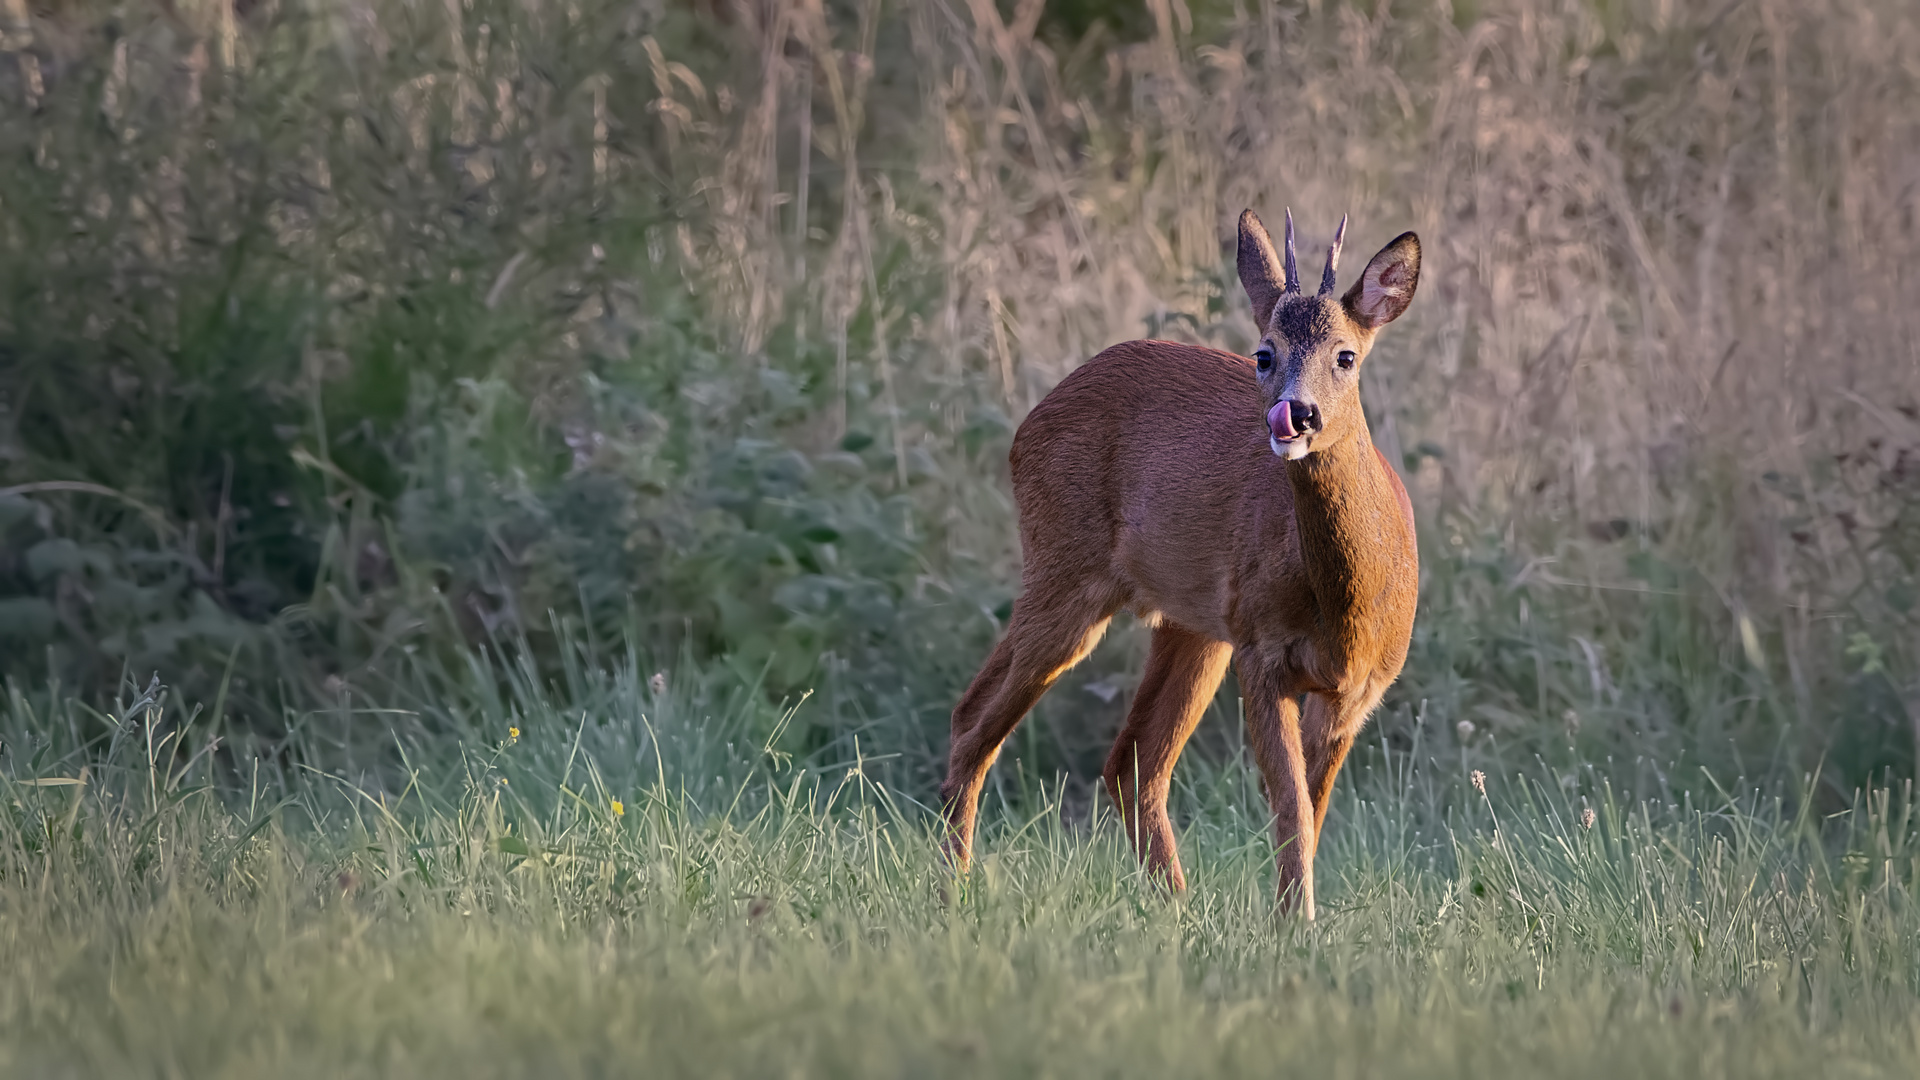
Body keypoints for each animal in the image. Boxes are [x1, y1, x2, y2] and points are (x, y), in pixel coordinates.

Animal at [936, 205, 1420, 910]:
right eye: (1264, 353)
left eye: (1346, 355)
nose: (1295, 415)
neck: (1347, 608)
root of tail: (1029, 422)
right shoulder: (1262, 652)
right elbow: (1293, 808)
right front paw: (1294, 924)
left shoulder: (1357, 691)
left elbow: (1313, 808)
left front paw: (1289, 918)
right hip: (1066, 572)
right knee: (977, 718)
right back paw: (956, 890)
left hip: (1189, 625)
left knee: (1130, 761)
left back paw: (1177, 909)